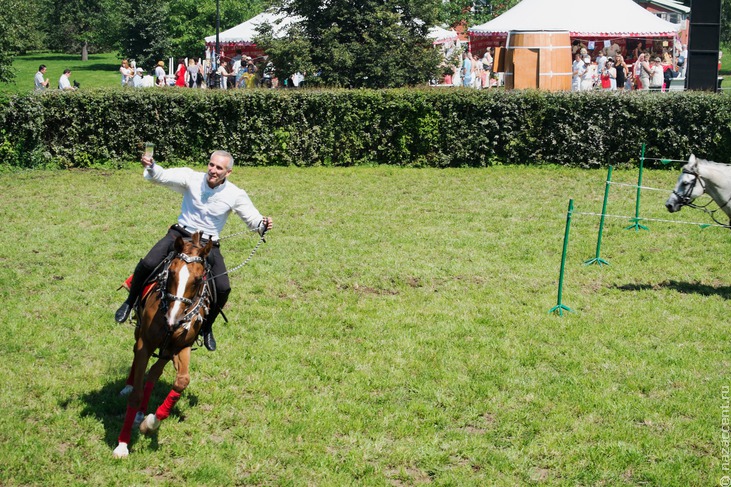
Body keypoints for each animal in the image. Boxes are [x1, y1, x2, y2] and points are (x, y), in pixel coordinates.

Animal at [113, 234, 213, 460]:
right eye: (172, 273)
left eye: (197, 279)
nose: (173, 319)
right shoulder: (146, 344)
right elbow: (136, 394)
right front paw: (122, 444)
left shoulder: (179, 347)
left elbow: (182, 381)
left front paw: (150, 423)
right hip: (139, 331)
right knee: (136, 357)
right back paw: (129, 386)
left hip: (166, 351)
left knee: (153, 373)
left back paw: (142, 414)